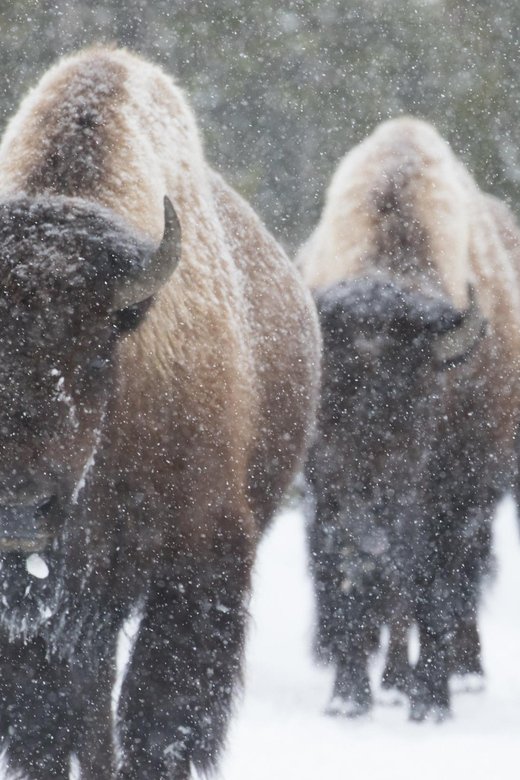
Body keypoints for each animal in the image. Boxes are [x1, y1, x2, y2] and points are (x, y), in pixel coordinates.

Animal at [296, 119, 520, 724]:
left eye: (417, 399)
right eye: (328, 399)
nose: (373, 512)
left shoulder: (456, 494)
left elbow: (437, 587)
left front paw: (431, 702)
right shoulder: (332, 493)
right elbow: (354, 578)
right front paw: (348, 697)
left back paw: (456, 676)